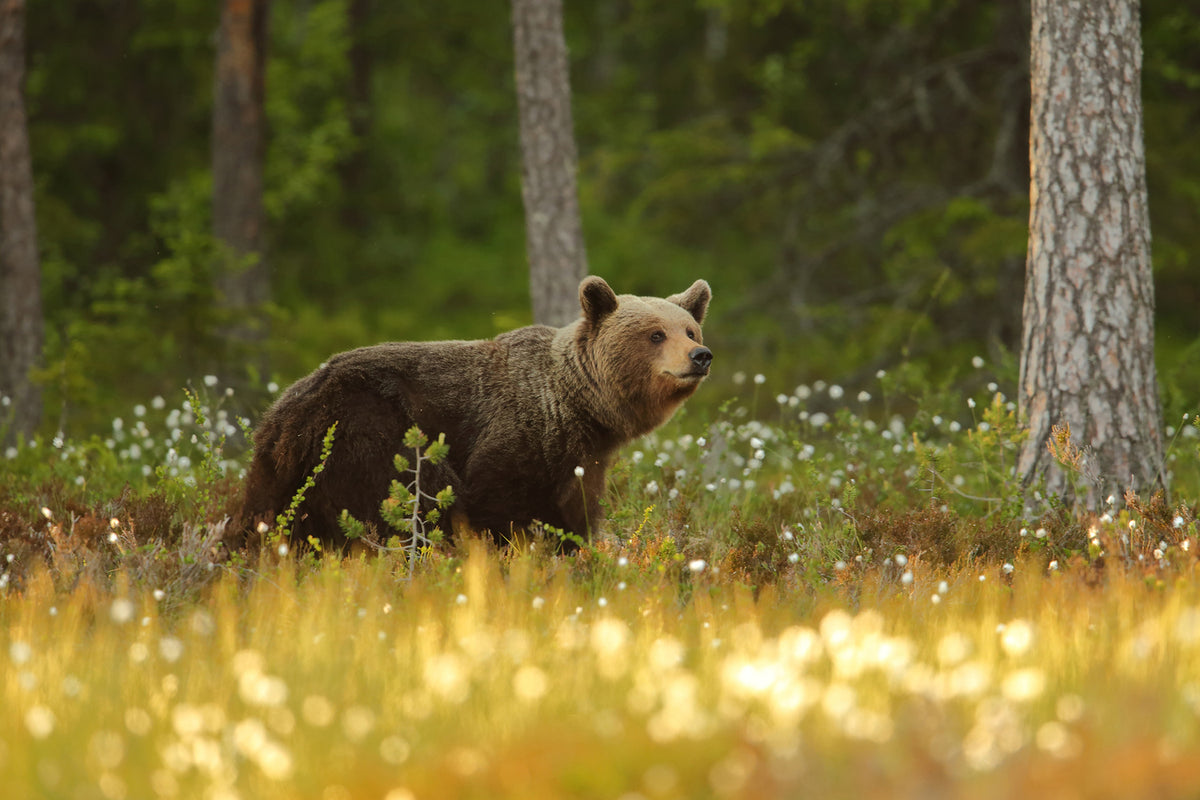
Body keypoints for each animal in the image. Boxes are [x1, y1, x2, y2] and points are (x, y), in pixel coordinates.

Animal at [232, 276, 712, 551]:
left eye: (690, 329)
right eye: (655, 334)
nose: (701, 355)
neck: (578, 407)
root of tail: (283, 411)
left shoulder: (580, 458)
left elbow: (576, 511)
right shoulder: (516, 433)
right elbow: (494, 502)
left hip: (285, 468)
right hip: (370, 429)